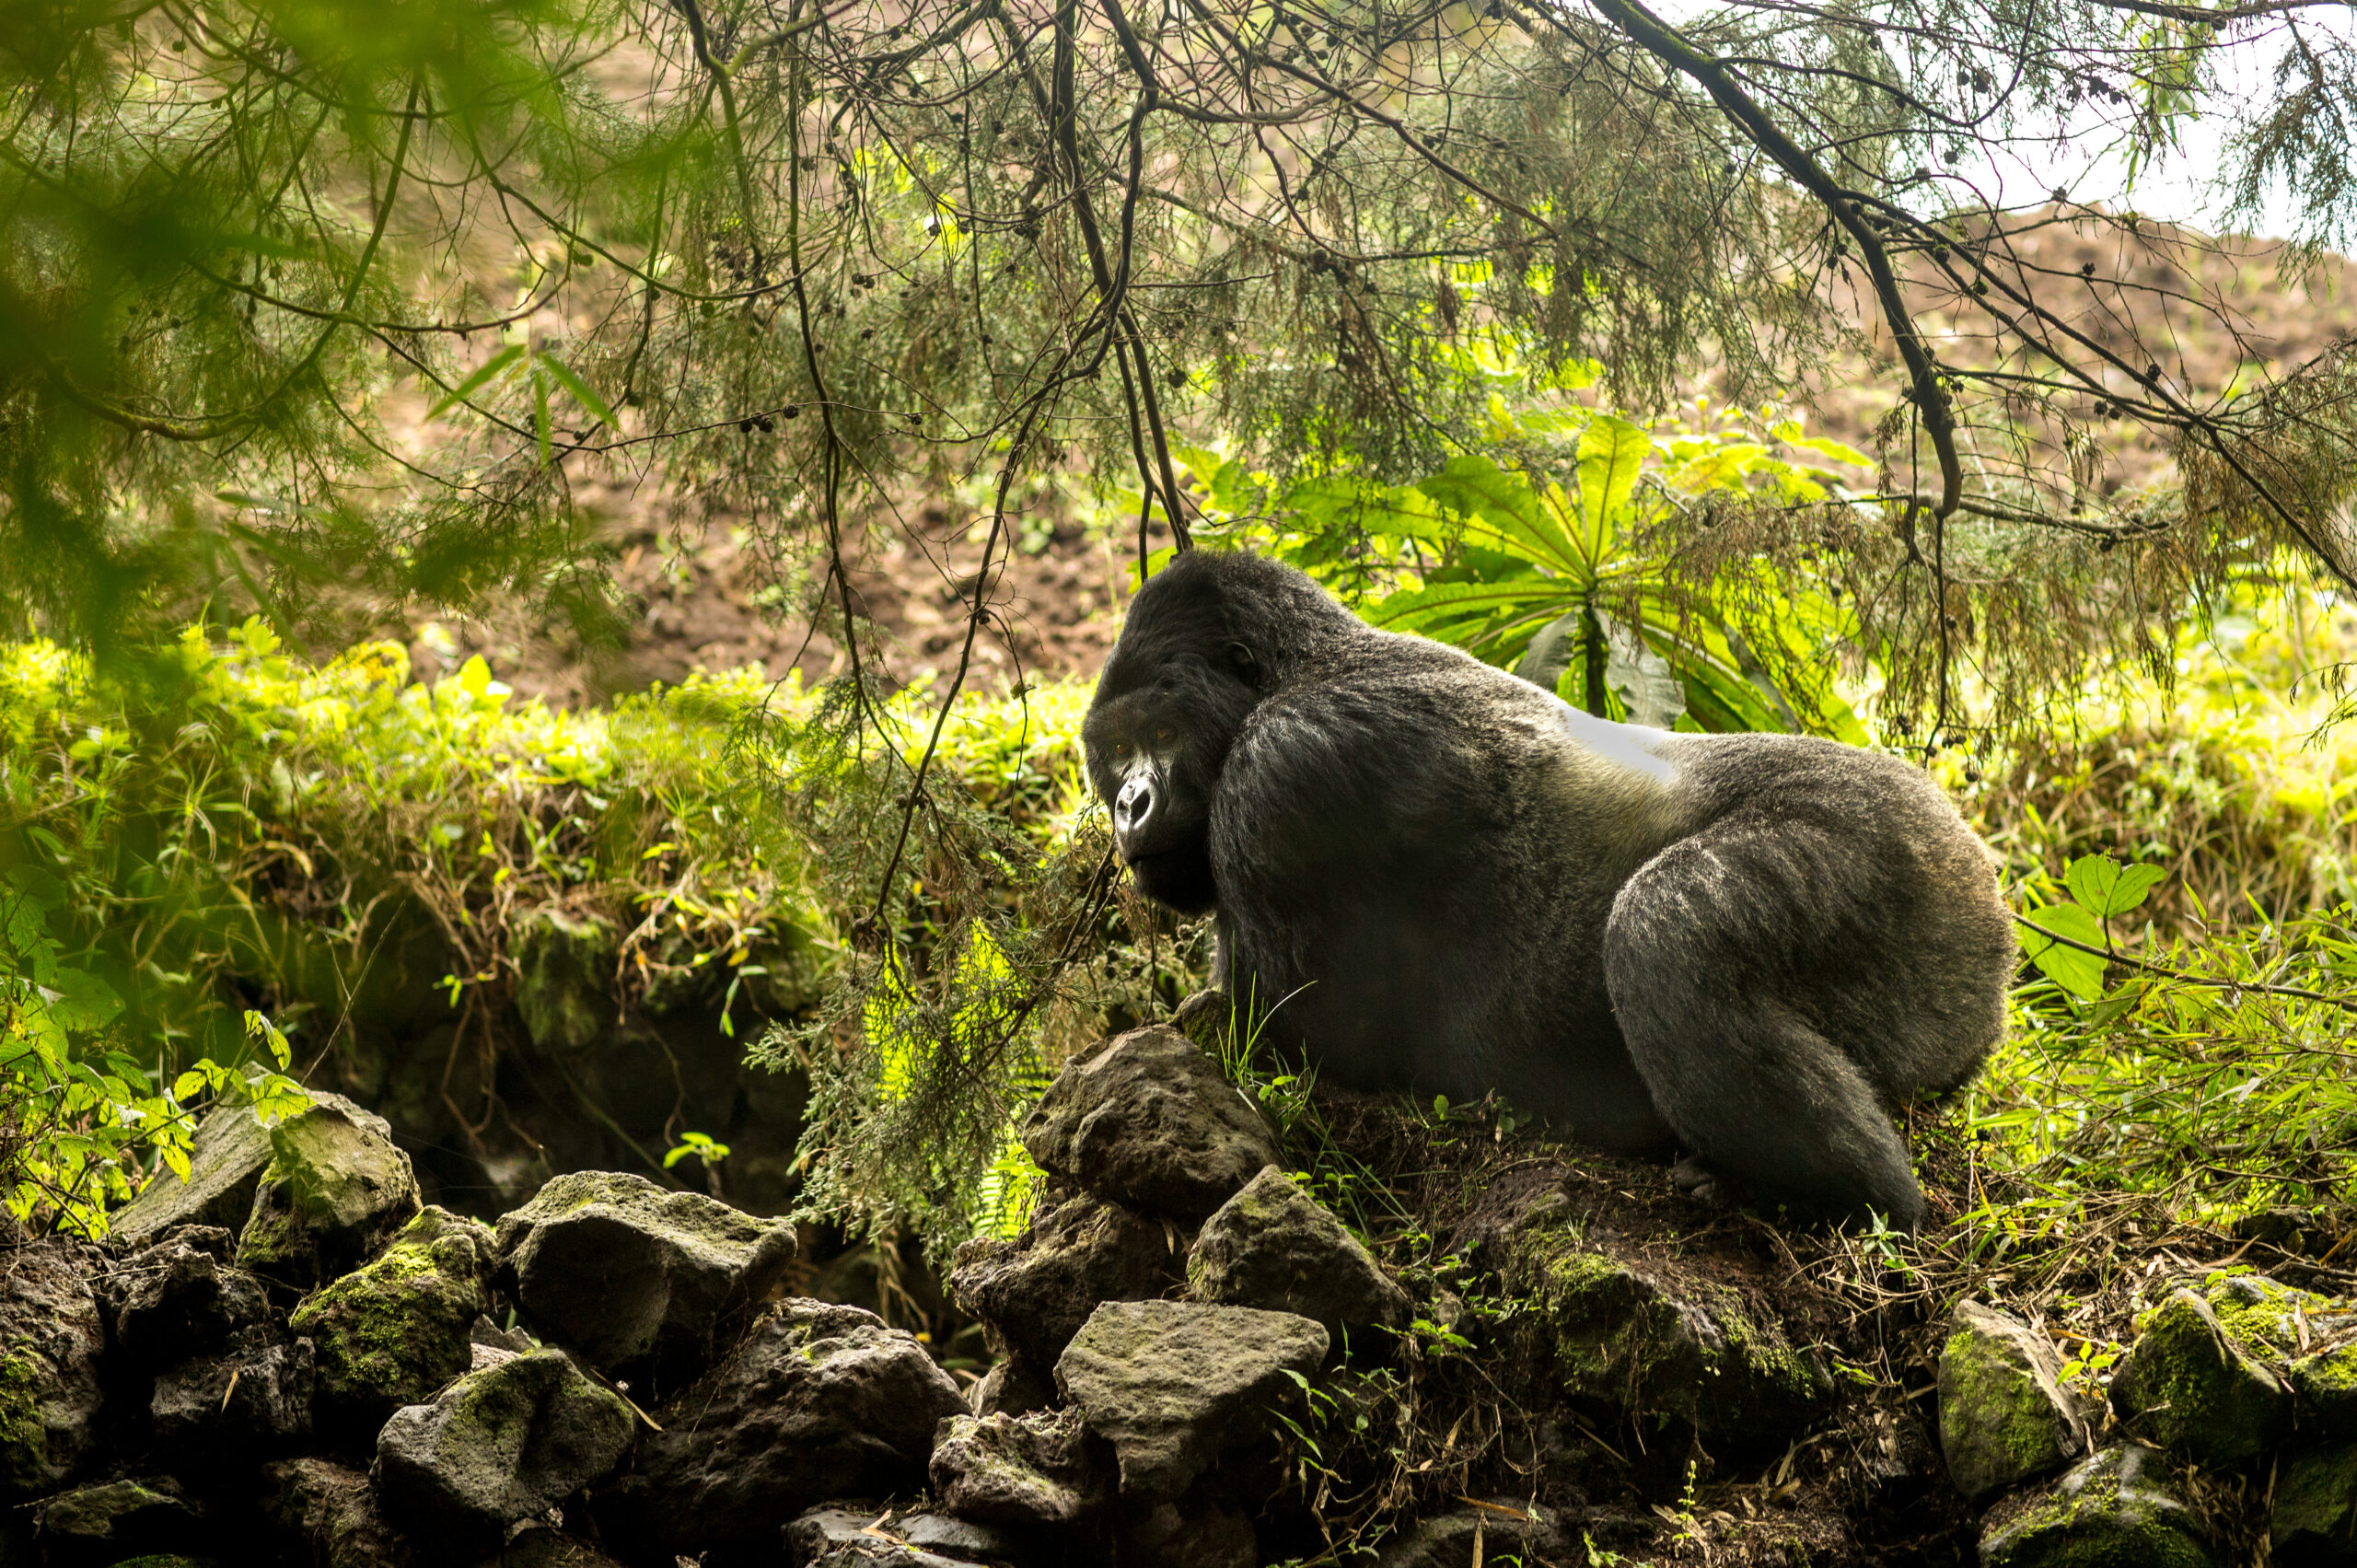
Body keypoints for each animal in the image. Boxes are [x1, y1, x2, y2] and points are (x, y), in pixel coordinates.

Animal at [1079, 547, 2017, 1225]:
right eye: (1115, 751)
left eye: (1160, 732)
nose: (1129, 804)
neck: (1301, 666)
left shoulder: (1284, 769)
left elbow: (1299, 1031)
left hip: (1904, 854)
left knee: (1662, 931)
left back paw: (1839, 1193)